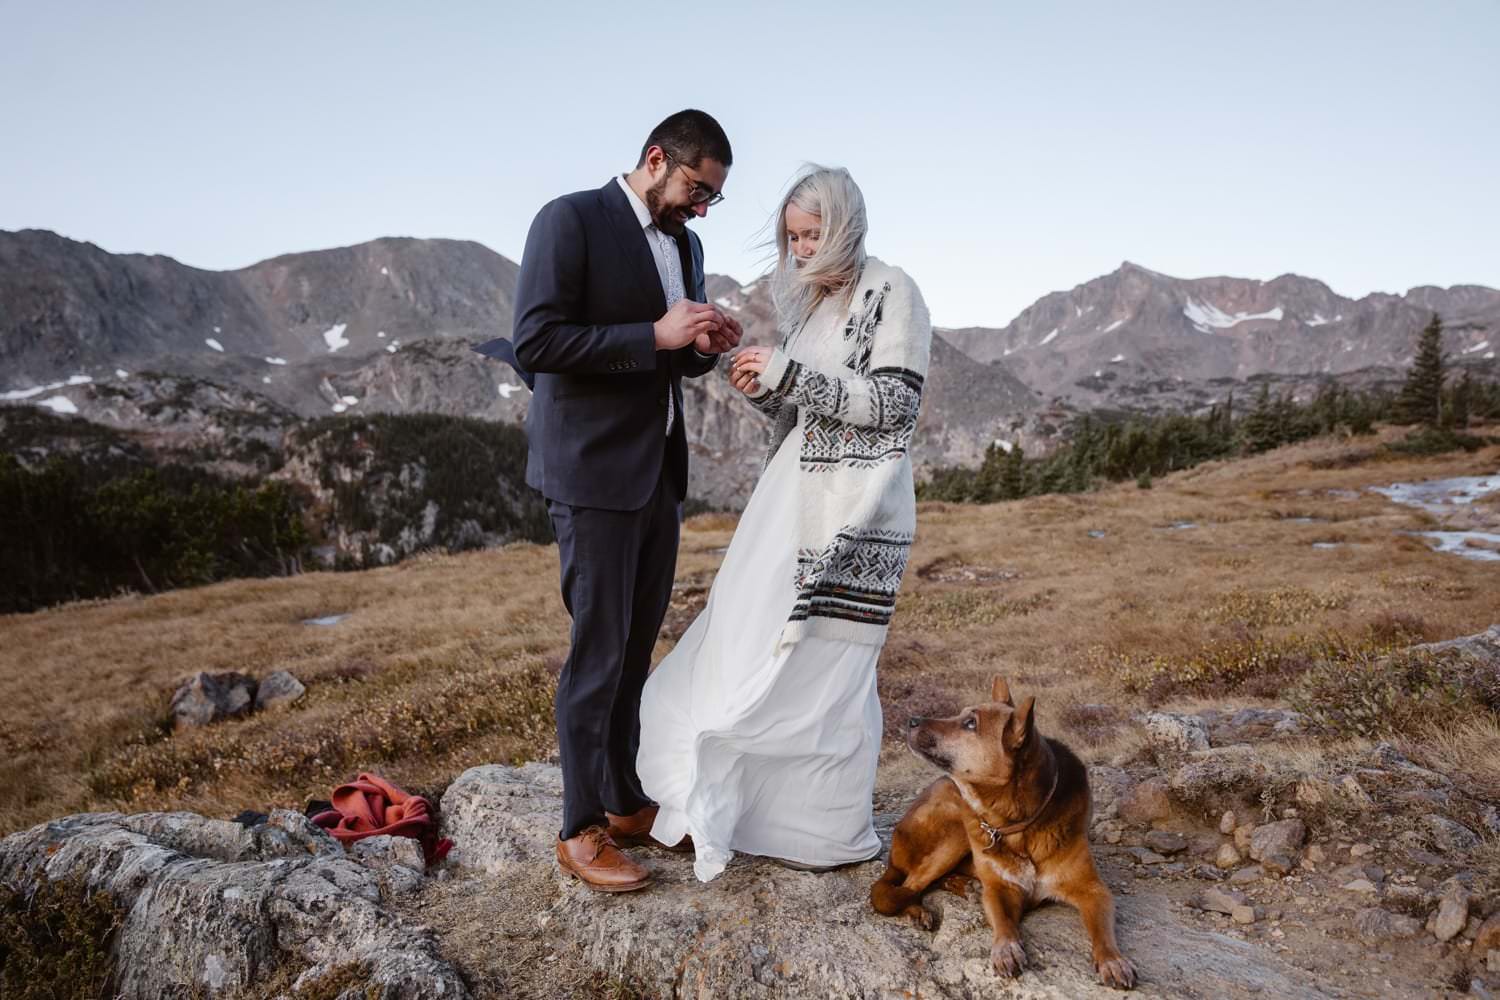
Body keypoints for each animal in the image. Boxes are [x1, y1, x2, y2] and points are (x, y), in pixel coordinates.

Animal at [870, 677, 1134, 989]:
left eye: (970, 723)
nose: (911, 720)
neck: (1017, 825)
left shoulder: (1094, 891)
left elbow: (1102, 932)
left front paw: (1113, 960)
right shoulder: (1000, 890)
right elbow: (1004, 921)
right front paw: (1006, 948)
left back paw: (965, 886)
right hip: (955, 828)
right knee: (906, 886)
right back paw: (919, 909)